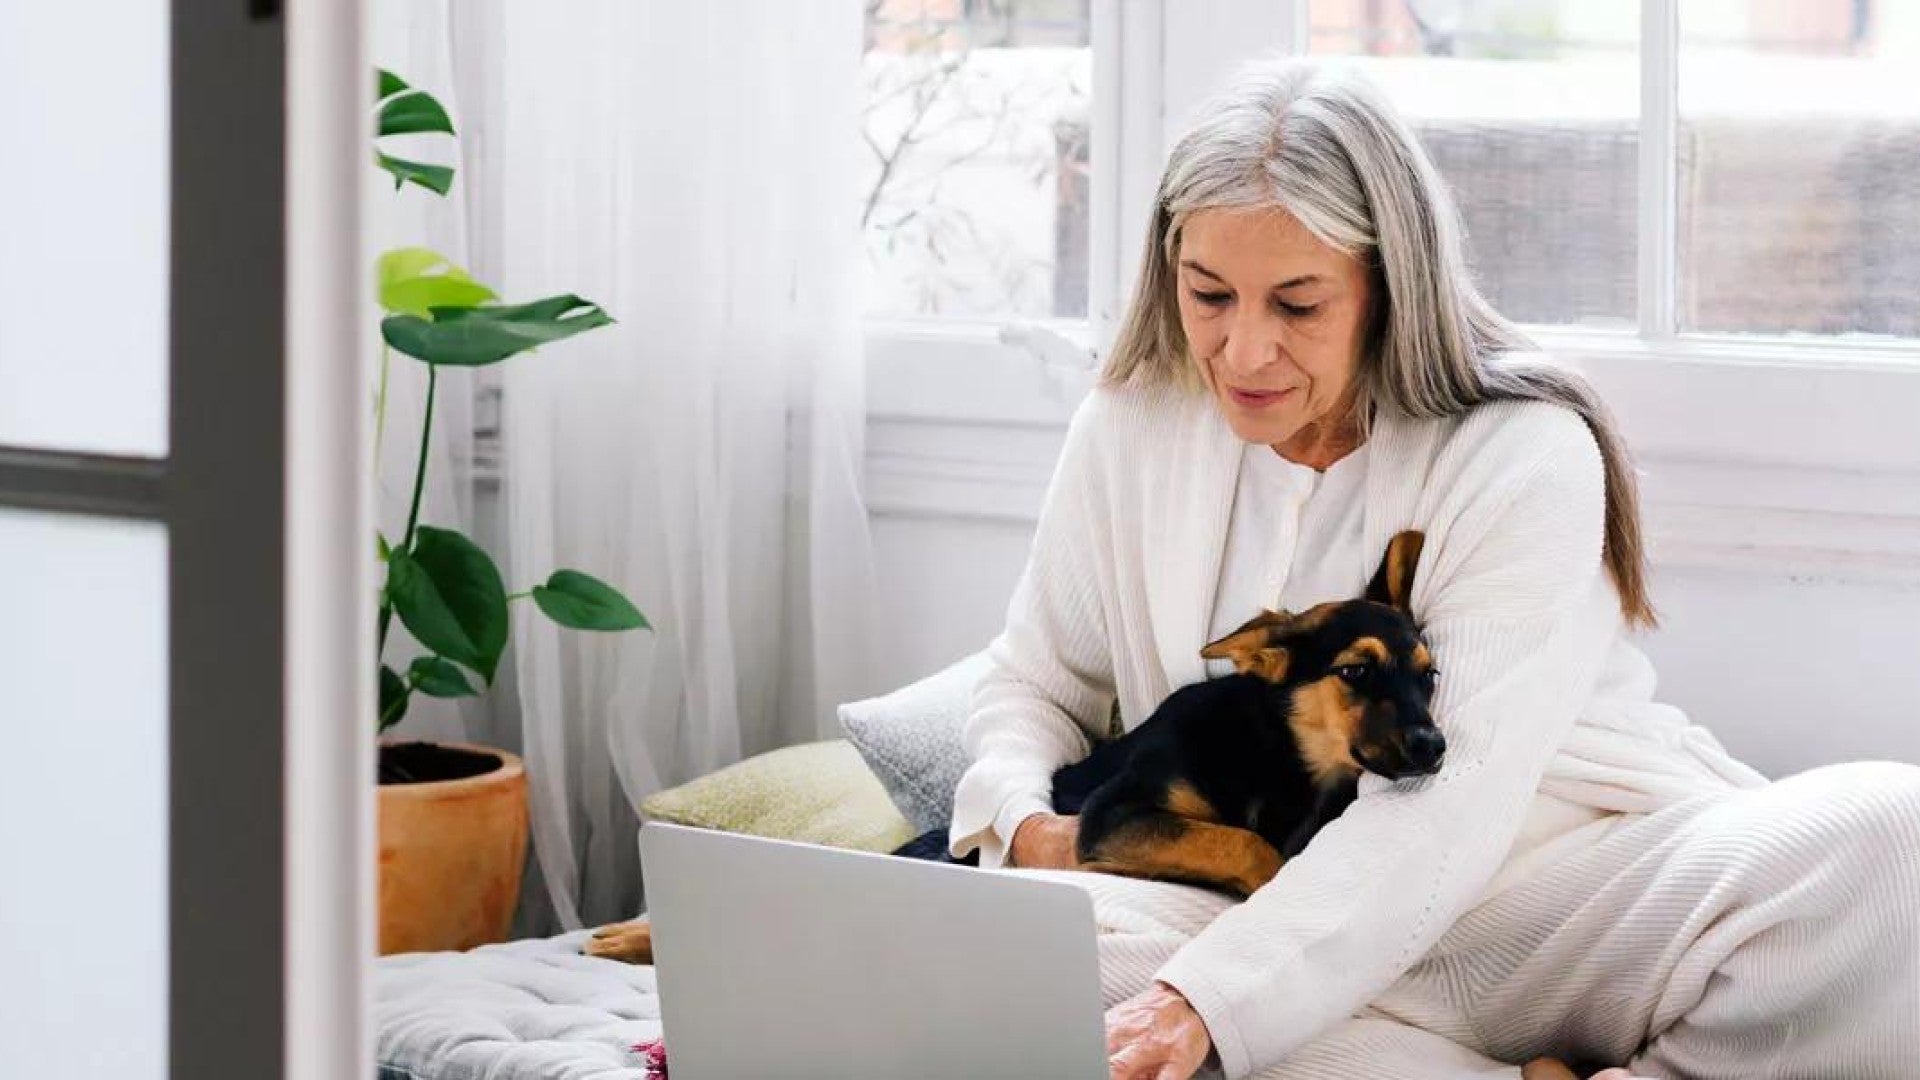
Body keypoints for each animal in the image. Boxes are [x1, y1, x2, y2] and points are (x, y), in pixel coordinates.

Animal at [583, 534, 1443, 960]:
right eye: (1354, 671)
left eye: (1431, 677)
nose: (1436, 746)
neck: (1279, 753)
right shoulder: (1112, 817)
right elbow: (1241, 842)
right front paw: (1266, 878)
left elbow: (1252, 841)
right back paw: (635, 935)